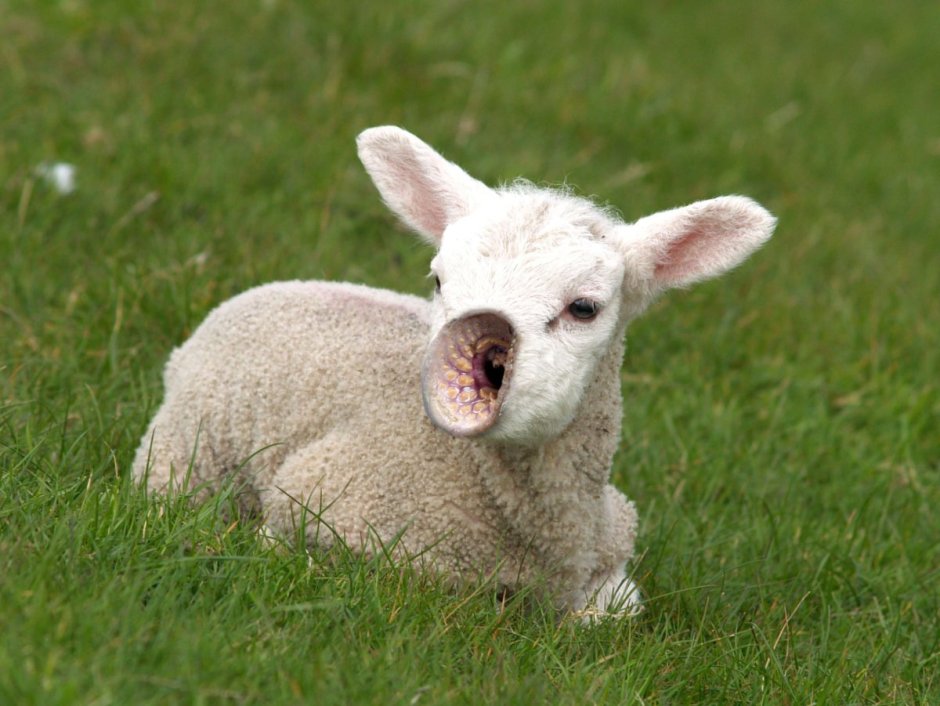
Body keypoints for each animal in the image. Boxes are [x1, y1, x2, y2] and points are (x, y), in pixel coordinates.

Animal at [133, 126, 775, 618]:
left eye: (584, 307)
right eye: (440, 279)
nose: (481, 349)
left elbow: (614, 613)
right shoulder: (315, 500)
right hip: (185, 452)